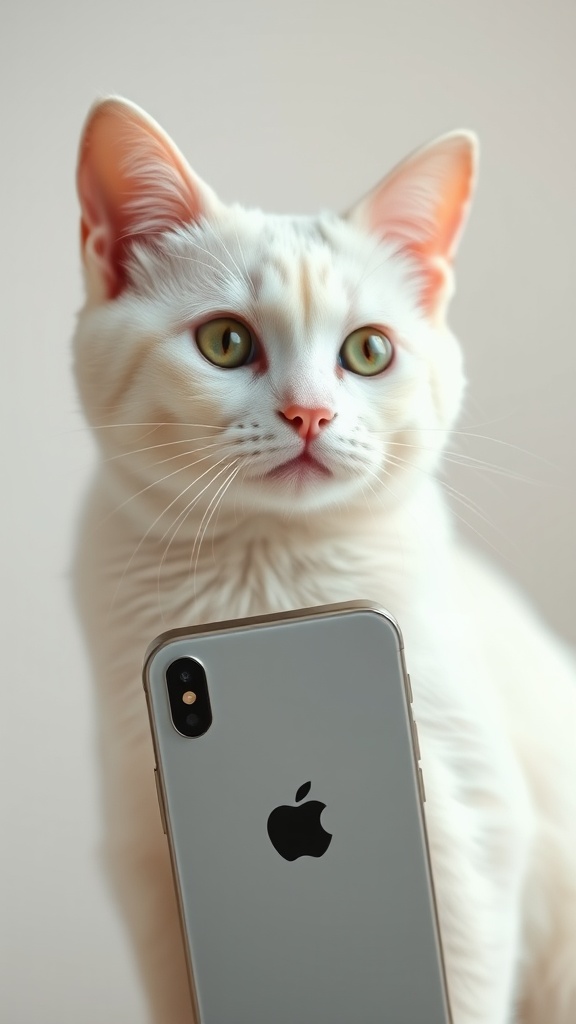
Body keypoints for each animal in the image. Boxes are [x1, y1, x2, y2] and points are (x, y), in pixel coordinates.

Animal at [73, 97, 573, 1024]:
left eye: (369, 351)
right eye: (225, 341)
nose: (309, 413)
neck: (266, 592)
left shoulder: (474, 835)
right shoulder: (143, 860)